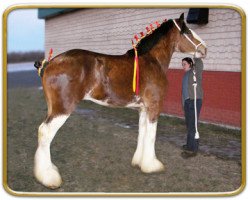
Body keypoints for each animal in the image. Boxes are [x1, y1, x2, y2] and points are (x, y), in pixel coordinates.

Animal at [33, 13, 207, 188]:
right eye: (187, 31)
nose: (204, 49)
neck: (152, 61)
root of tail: (50, 63)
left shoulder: (143, 109)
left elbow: (142, 132)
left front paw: (139, 162)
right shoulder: (154, 107)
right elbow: (151, 135)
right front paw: (151, 166)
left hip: (53, 108)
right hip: (62, 109)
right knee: (45, 132)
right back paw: (49, 177)